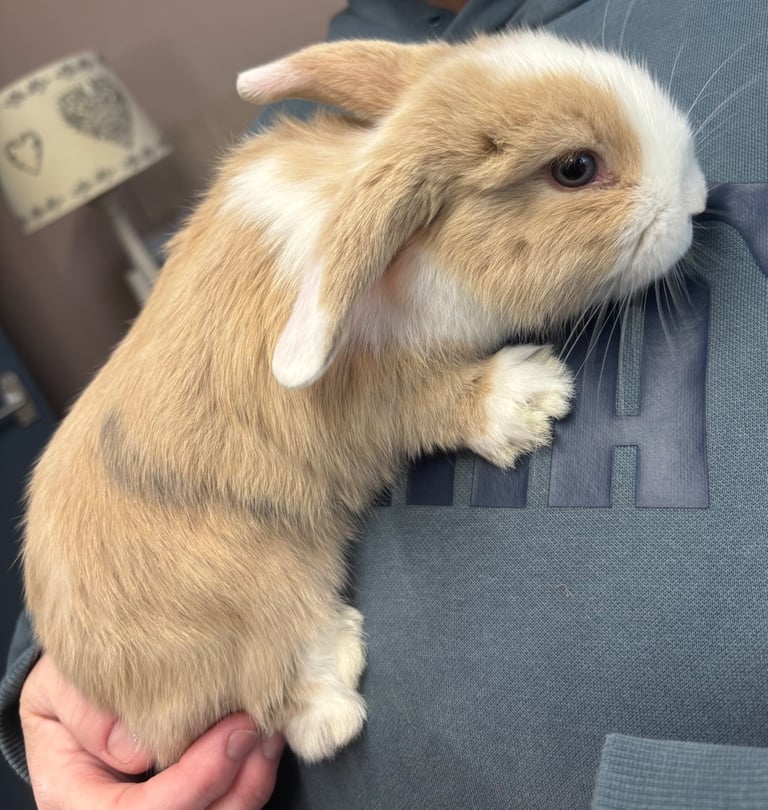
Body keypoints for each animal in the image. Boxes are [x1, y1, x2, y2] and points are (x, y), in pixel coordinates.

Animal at [22, 29, 707, 767]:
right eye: (575, 168)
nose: (696, 198)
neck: (419, 257)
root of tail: (122, 696)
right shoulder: (378, 393)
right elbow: (437, 403)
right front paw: (534, 398)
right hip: (258, 591)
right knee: (288, 708)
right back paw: (340, 671)